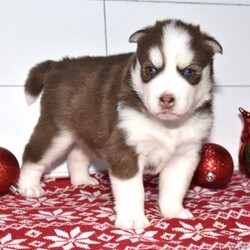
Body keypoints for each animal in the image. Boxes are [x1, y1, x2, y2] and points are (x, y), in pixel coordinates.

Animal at [17, 20, 222, 229]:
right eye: (151, 70)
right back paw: (29, 186)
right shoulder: (124, 147)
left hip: (89, 128)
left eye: (188, 72)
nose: (166, 99)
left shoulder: (185, 155)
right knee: (33, 153)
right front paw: (132, 218)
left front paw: (173, 210)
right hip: (58, 131)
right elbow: (132, 189)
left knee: (76, 154)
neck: (167, 126)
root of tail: (58, 64)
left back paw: (82, 179)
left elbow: (175, 187)